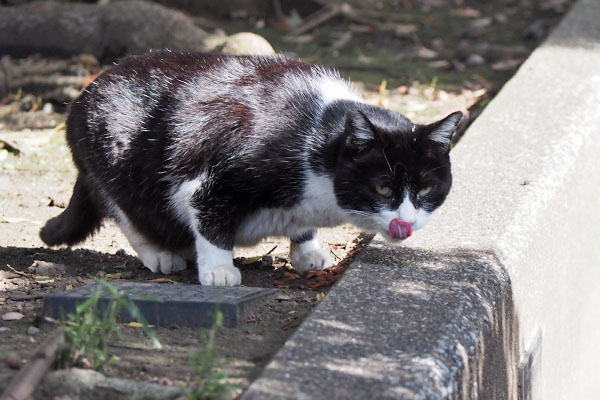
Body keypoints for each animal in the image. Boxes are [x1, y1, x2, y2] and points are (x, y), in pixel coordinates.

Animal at [39, 50, 462, 288]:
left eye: (425, 190)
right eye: (383, 188)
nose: (405, 221)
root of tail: (85, 92)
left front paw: (307, 252)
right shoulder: (210, 178)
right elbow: (210, 220)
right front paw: (219, 270)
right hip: (113, 156)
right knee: (126, 210)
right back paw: (162, 254)